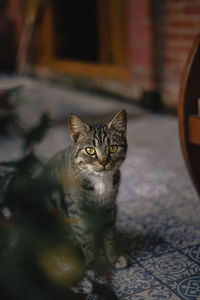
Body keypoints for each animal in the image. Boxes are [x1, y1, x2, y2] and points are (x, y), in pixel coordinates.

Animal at [43, 110, 128, 270]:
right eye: (90, 150)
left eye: (113, 148)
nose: (103, 162)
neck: (100, 180)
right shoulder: (76, 210)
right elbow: (86, 240)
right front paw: (92, 264)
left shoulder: (109, 207)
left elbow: (109, 236)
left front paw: (112, 258)